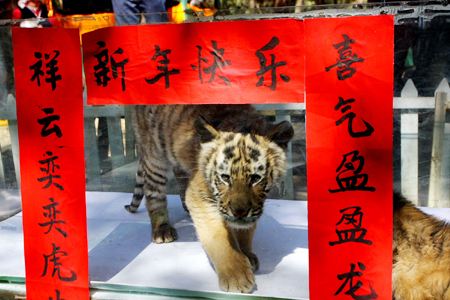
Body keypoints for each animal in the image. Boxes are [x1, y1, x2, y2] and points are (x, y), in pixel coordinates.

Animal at [127, 104, 296, 292]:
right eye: (225, 177)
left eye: (255, 178)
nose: (240, 212)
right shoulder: (199, 196)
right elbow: (219, 237)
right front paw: (236, 275)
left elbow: (245, 230)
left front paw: (247, 255)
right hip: (154, 156)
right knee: (154, 193)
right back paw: (162, 230)